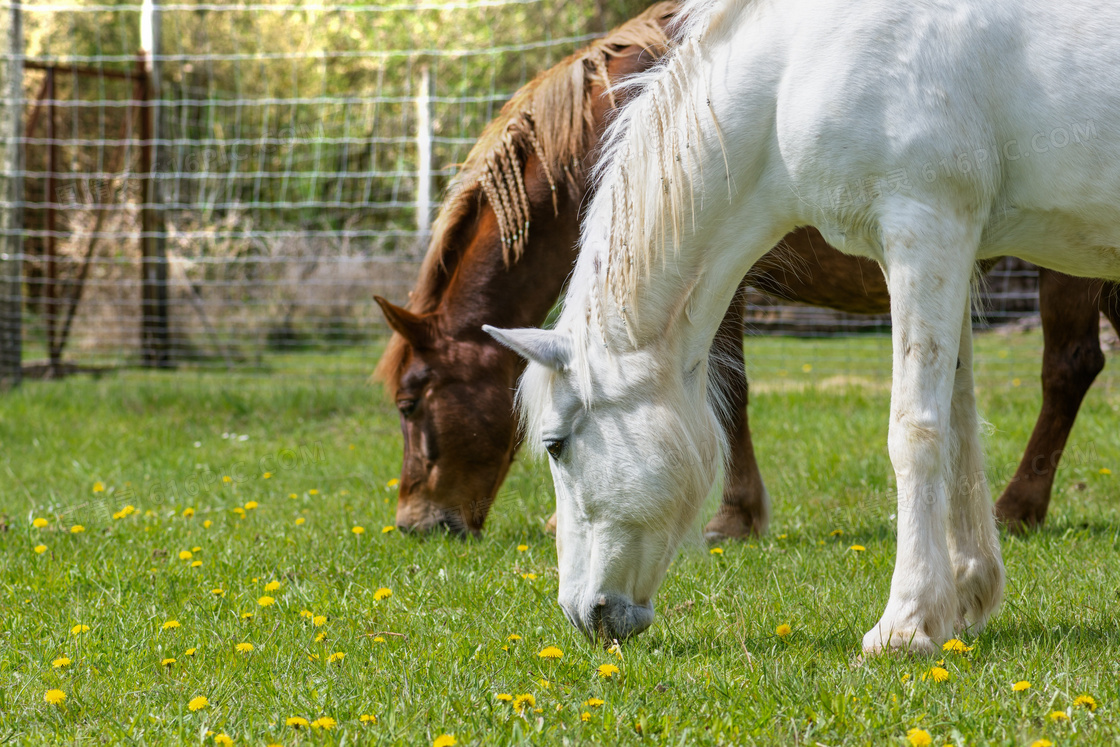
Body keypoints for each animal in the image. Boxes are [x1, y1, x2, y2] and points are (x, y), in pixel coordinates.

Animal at [486, 0, 1120, 654]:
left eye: (555, 445)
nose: (583, 614)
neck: (792, 68)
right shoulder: (951, 254)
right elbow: (959, 429)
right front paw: (965, 593)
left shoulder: (924, 232)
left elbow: (915, 432)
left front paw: (906, 622)